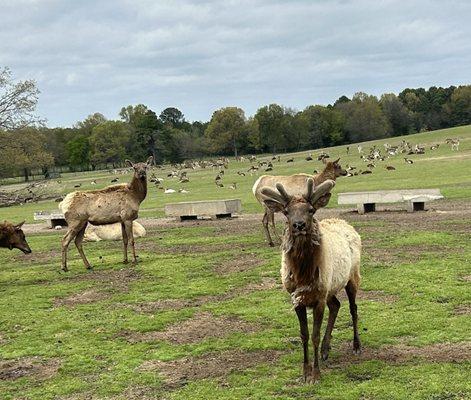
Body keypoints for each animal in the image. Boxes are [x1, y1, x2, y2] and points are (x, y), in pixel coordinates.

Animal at [262, 180, 362, 382]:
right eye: (286, 211)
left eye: (310, 210)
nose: (298, 225)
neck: (303, 274)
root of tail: (346, 223)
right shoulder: (298, 298)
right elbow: (304, 335)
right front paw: (305, 372)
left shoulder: (319, 298)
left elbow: (315, 335)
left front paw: (316, 374)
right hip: (331, 288)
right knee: (336, 305)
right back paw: (326, 349)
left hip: (352, 277)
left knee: (353, 308)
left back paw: (356, 345)